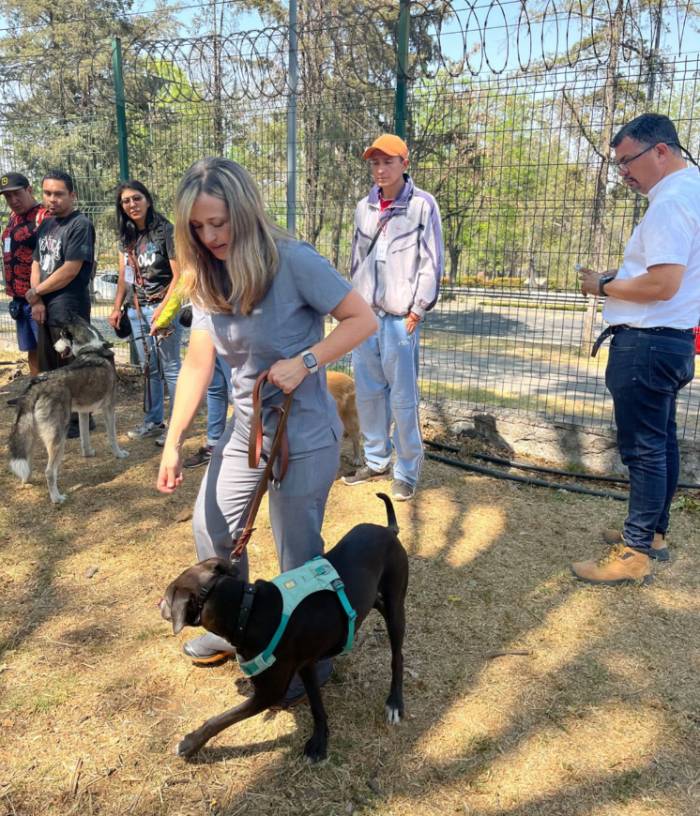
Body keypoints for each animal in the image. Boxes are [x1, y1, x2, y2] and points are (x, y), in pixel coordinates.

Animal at [8, 318, 129, 504]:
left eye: (61, 336)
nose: (54, 345)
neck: (92, 348)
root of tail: (38, 385)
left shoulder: (83, 413)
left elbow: (85, 438)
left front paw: (88, 454)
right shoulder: (109, 408)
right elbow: (113, 438)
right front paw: (120, 454)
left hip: (31, 436)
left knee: (26, 462)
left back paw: (26, 481)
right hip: (58, 438)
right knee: (49, 472)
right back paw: (57, 498)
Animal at [159, 490, 408, 764]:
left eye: (168, 597)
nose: (159, 605)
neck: (247, 609)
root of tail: (389, 531)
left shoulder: (270, 692)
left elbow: (221, 719)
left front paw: (190, 743)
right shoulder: (306, 664)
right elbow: (317, 705)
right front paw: (320, 740)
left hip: (396, 608)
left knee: (397, 657)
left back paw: (395, 703)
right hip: (373, 599)